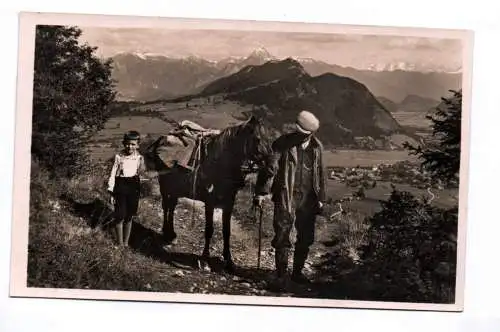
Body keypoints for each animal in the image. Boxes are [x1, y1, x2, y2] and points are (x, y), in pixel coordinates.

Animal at [143, 115, 272, 272]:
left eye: (268, 138)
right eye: (258, 139)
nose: (271, 167)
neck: (221, 165)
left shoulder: (229, 203)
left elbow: (226, 231)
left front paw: (229, 261)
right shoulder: (209, 202)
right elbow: (209, 230)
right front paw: (205, 259)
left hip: (176, 189)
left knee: (172, 207)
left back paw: (171, 234)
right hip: (164, 185)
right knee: (166, 207)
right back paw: (166, 232)